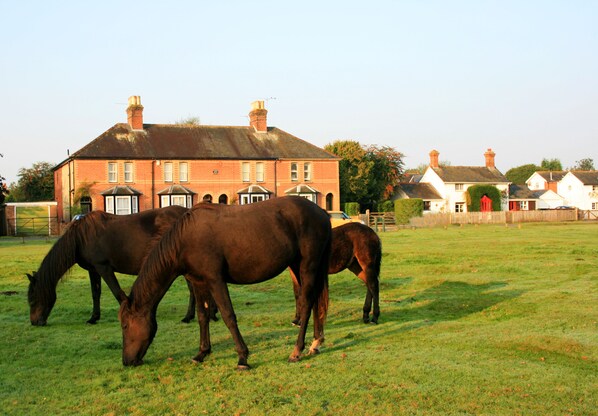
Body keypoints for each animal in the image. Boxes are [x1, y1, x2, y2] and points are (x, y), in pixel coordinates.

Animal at [27, 206, 204, 326]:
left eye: (33, 298)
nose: (35, 322)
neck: (81, 237)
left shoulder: (104, 267)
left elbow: (116, 292)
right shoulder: (94, 270)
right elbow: (95, 293)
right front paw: (93, 318)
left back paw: (188, 317)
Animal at [118, 197, 332, 368]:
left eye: (125, 326)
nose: (127, 361)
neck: (185, 240)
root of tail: (321, 212)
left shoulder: (216, 280)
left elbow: (228, 316)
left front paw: (243, 357)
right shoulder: (199, 283)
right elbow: (202, 316)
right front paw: (201, 353)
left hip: (308, 266)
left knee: (306, 303)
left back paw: (297, 350)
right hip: (298, 266)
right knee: (315, 302)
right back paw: (315, 343)